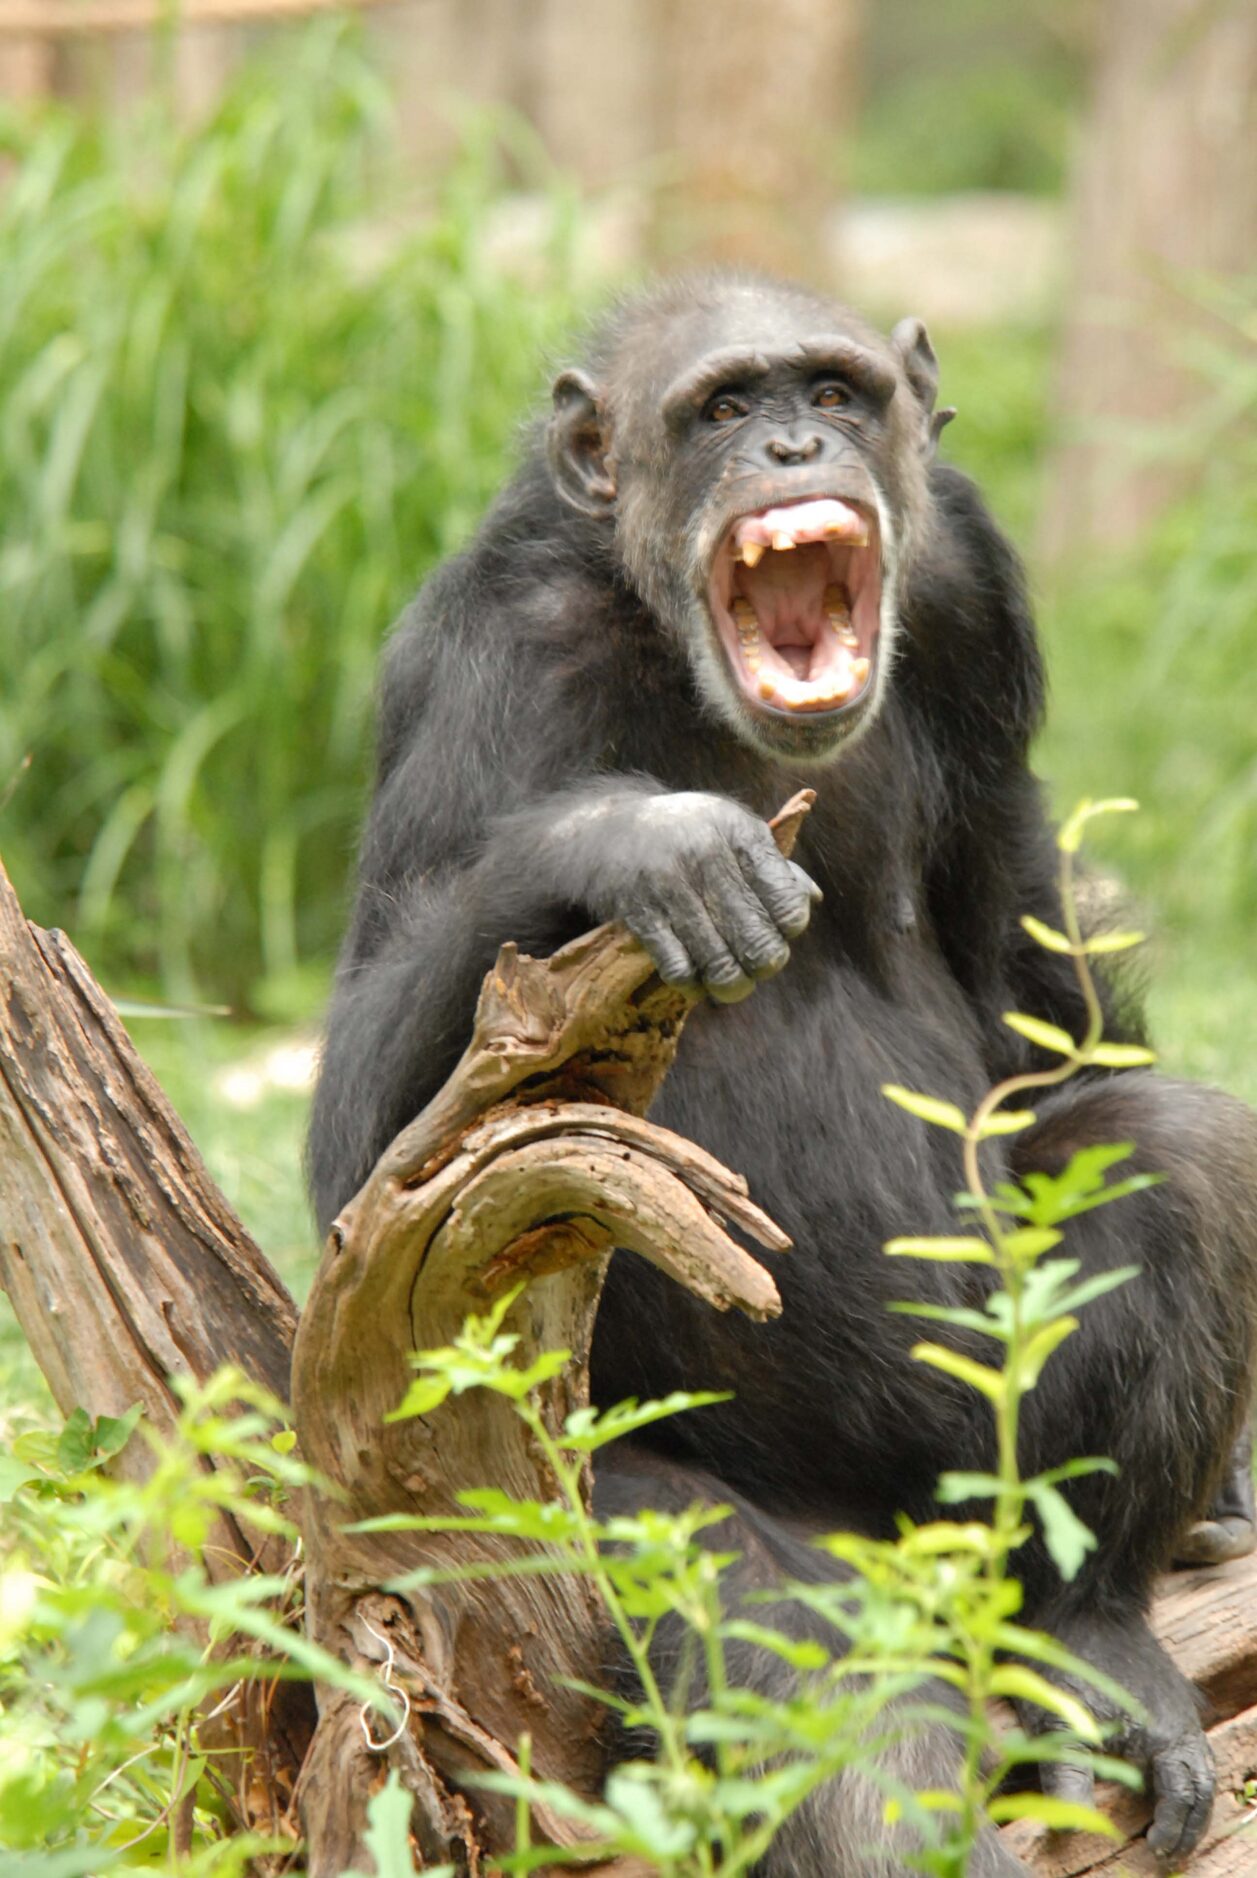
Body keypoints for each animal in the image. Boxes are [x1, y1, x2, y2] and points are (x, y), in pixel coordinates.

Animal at [308, 272, 1255, 1870]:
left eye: (834, 389)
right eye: (723, 407)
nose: (796, 445)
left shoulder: (971, 595)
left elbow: (1019, 919)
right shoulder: (488, 667)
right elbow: (377, 1166)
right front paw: (637, 845)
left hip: (989, 1481)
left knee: (1183, 1151)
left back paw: (1094, 1639)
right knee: (831, 1709)